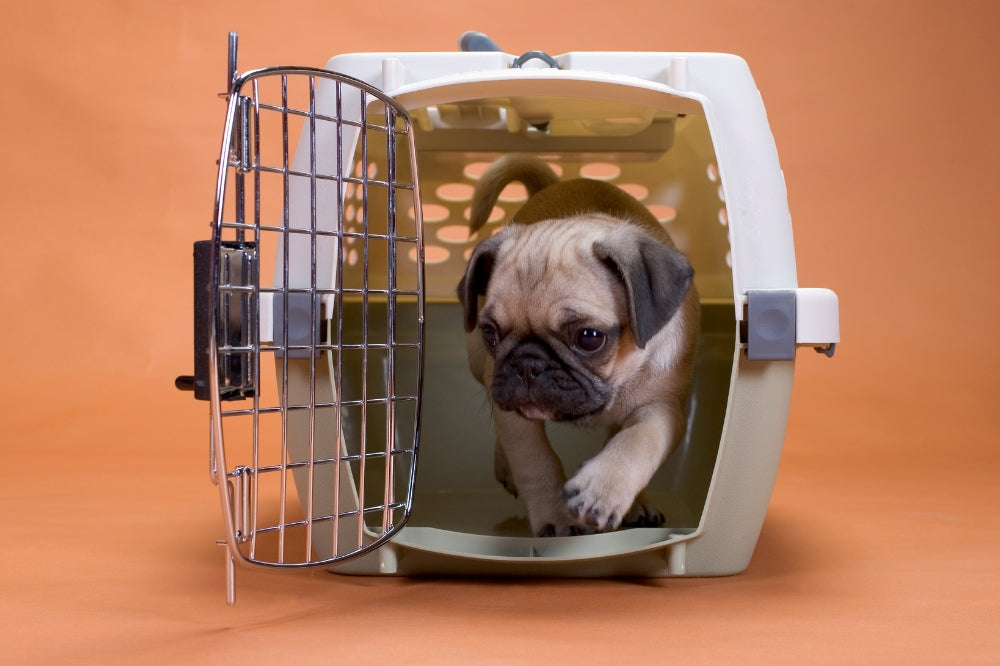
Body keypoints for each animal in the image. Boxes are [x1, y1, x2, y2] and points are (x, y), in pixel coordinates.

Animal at [458, 156, 700, 536]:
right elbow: (534, 460)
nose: (528, 363)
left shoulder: (664, 408)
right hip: (479, 366)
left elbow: (637, 440)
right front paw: (557, 518)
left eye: (589, 337)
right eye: (490, 333)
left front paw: (601, 490)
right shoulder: (516, 415)